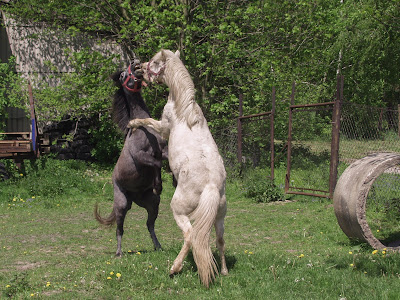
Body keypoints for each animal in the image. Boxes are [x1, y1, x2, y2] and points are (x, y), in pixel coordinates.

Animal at [95, 59, 167, 256]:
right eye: (122, 75)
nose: (136, 65)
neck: (142, 127)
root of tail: (134, 196)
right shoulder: (141, 156)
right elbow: (156, 163)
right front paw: (158, 184)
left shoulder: (163, 150)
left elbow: (163, 161)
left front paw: (165, 182)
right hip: (122, 204)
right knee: (119, 229)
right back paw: (118, 253)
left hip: (152, 203)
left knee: (149, 224)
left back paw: (158, 246)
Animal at [128, 50, 228, 288]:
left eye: (155, 62)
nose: (140, 67)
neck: (184, 108)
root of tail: (211, 186)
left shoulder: (163, 127)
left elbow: (147, 121)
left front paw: (133, 124)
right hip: (219, 216)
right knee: (219, 240)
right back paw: (224, 271)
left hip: (179, 210)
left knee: (190, 236)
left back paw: (175, 268)